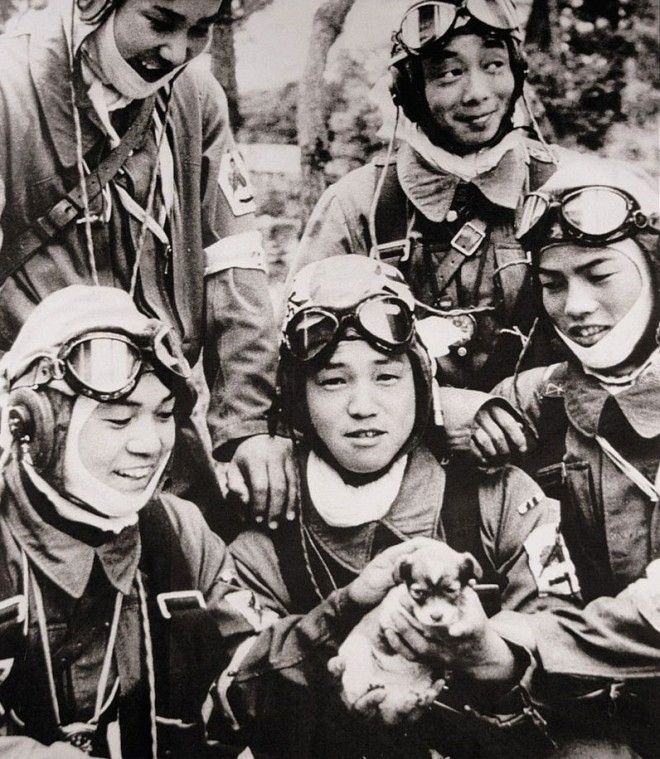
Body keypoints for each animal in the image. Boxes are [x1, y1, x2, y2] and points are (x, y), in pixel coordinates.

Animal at [328, 544, 480, 728]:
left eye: (450, 590)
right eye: (419, 592)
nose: (436, 617)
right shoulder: (387, 621)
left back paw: (417, 698)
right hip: (356, 649)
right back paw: (365, 685)